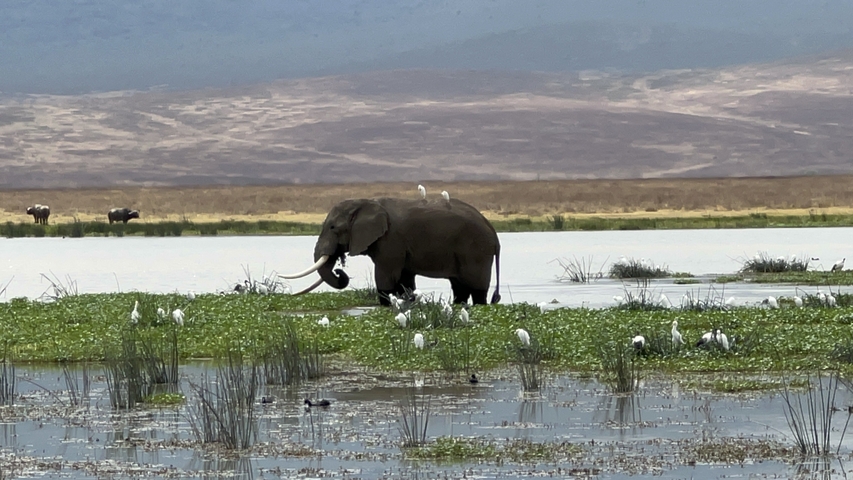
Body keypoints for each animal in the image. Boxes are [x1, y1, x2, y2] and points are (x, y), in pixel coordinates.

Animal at [281, 197, 501, 306]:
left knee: (477, 288)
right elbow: (405, 280)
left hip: (476, 250)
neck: (367, 203)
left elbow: (386, 276)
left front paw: (387, 305)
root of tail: (494, 233)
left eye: (333, 227)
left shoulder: (391, 240)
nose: (339, 270)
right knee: (459, 287)